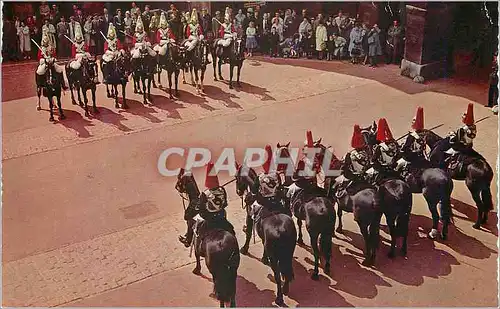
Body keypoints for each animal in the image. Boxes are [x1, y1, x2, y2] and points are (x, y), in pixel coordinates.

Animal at [174, 168, 240, 306]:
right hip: (233, 270)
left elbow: (197, 256)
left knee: (220, 287)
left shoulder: (195, 240)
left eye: (180, 178)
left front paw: (196, 269)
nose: (176, 187)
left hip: (216, 270)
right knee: (231, 291)